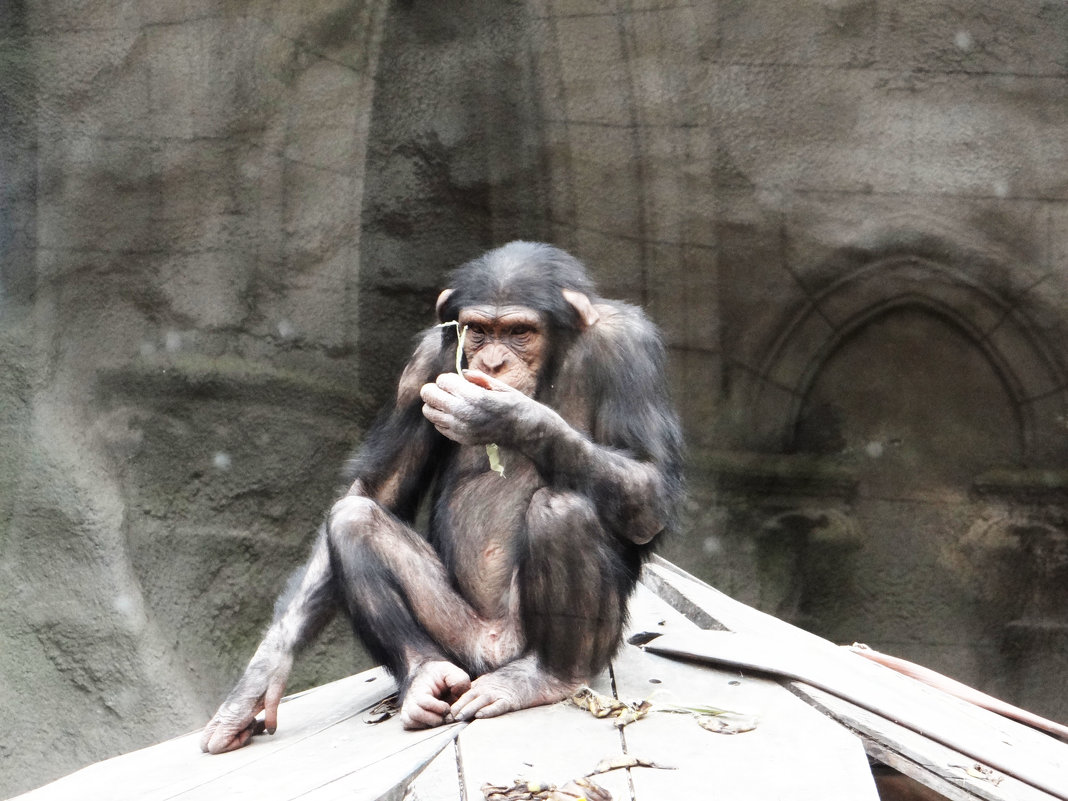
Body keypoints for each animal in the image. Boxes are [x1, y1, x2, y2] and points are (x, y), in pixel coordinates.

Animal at [200, 241, 683, 756]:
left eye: (519, 332)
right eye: (479, 331)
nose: (493, 363)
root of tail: (492, 653)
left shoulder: (630, 348)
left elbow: (650, 488)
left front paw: (503, 414)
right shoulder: (425, 360)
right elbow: (377, 489)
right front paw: (258, 679)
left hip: (543, 643)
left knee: (562, 509)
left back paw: (545, 677)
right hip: (460, 639)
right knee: (354, 519)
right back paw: (424, 677)